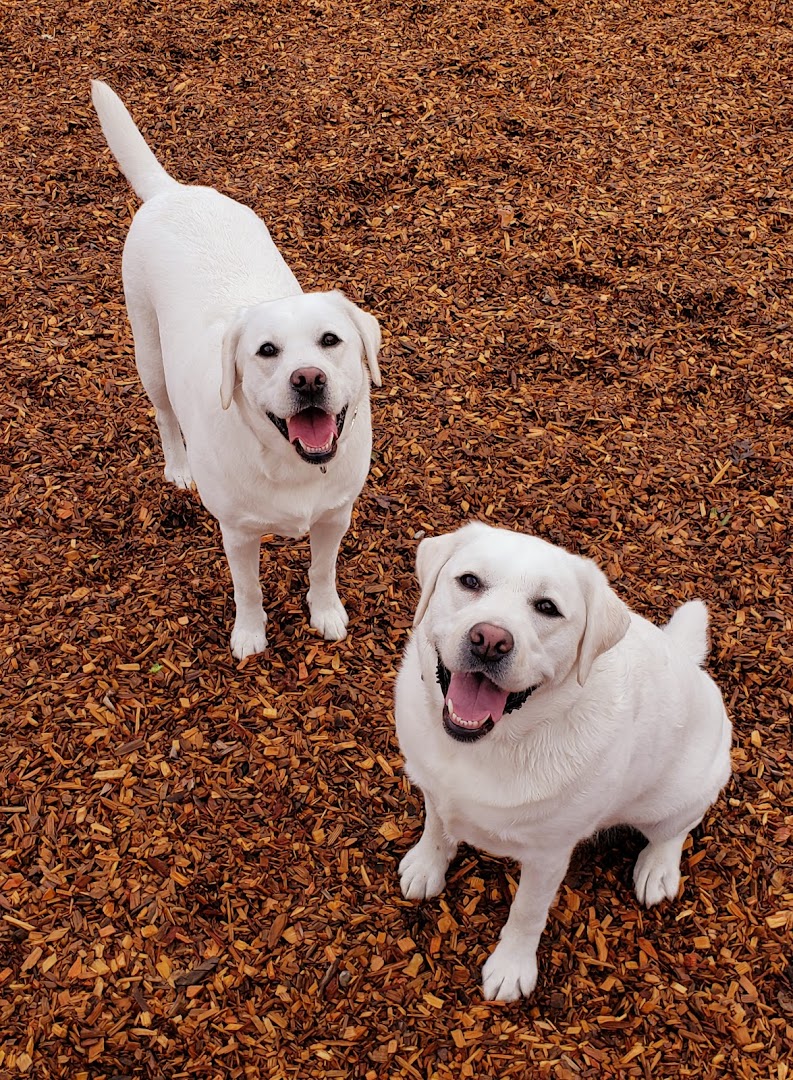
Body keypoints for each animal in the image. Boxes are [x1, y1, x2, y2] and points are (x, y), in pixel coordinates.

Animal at [91, 79, 384, 656]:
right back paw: (178, 468)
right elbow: (248, 588)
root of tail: (171, 192)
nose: (308, 378)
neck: (293, 466)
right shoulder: (239, 533)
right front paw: (249, 634)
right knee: (164, 415)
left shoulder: (334, 517)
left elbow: (322, 571)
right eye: (266, 351)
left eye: (330, 340)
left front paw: (326, 612)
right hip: (149, 355)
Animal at [397, 518, 734, 997]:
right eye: (470, 582)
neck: (488, 744)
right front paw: (427, 865)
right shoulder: (434, 787)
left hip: (676, 796)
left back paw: (657, 869)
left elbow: (526, 914)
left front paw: (512, 968)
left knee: (676, 830)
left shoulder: (548, 856)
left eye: (547, 607)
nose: (490, 640)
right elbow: (437, 827)